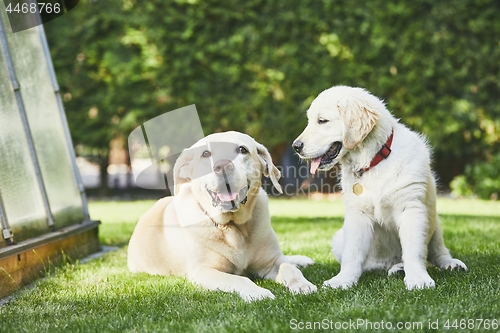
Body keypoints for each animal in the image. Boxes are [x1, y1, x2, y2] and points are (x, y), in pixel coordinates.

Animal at [128, 130, 316, 300]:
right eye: (205, 153)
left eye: (242, 150)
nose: (223, 166)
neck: (234, 226)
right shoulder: (203, 271)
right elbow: (240, 279)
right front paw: (258, 292)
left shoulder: (272, 261)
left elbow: (288, 268)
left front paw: (302, 284)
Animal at [292, 87, 466, 290]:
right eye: (310, 121)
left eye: (322, 121)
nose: (295, 146)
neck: (373, 160)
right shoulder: (357, 214)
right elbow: (352, 252)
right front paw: (343, 280)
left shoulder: (411, 208)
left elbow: (414, 250)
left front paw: (418, 279)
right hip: (339, 240)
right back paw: (396, 268)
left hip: (434, 221)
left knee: (438, 252)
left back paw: (449, 263)